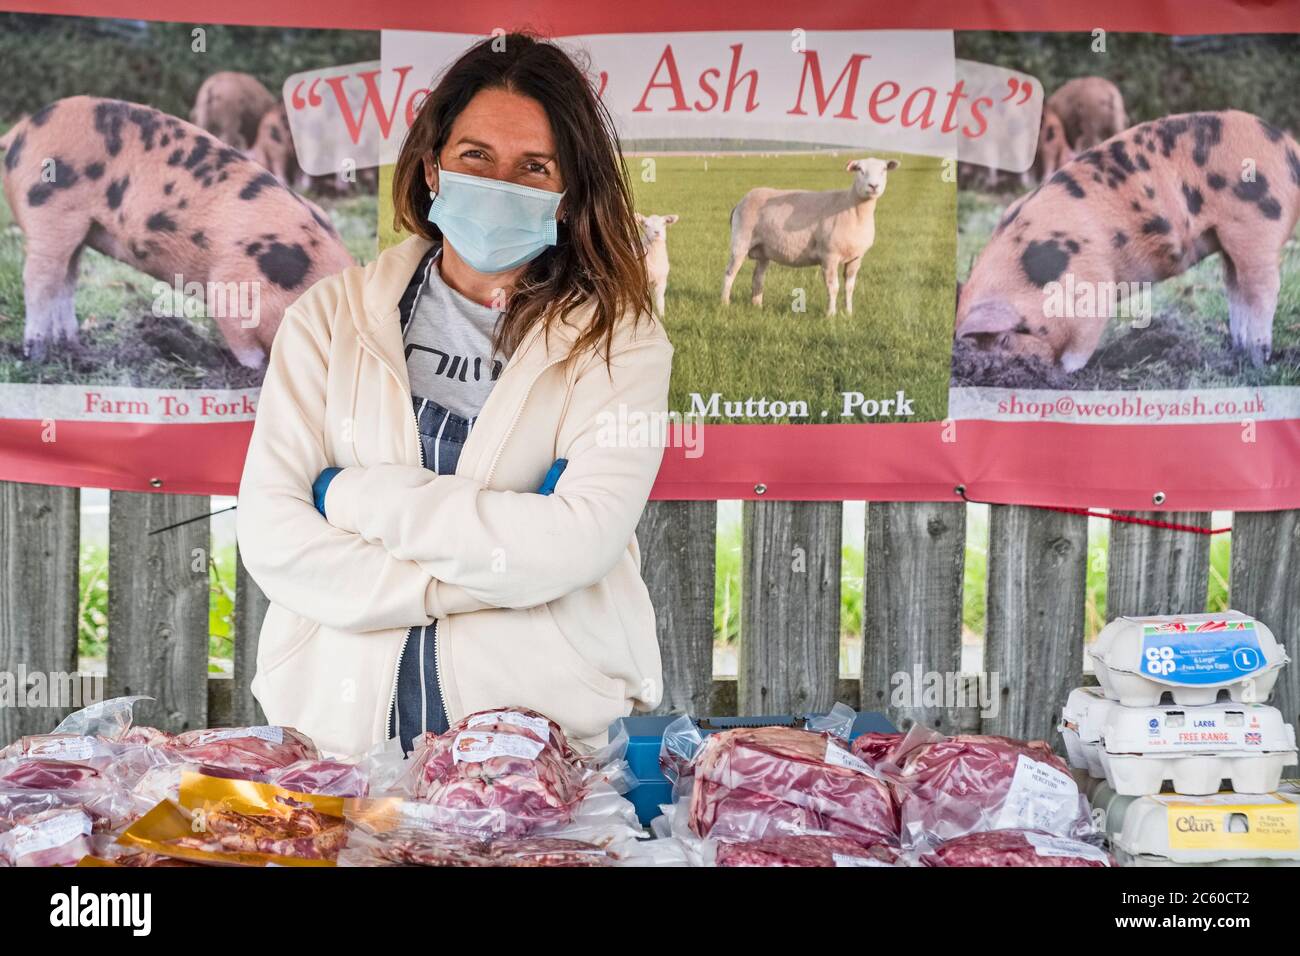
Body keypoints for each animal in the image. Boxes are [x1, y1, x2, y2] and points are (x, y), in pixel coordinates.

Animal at [0, 96, 356, 366]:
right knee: (40, 280)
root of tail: (19, 132)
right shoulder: (227, 288)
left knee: (67, 280)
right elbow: (248, 350)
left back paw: (73, 345)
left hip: (80, 229)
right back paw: (37, 354)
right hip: (48, 213)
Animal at [717, 158, 899, 316]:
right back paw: (724, 304)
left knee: (757, 278)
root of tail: (741, 201)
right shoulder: (829, 255)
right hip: (741, 241)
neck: (852, 208)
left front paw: (848, 313)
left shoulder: (856, 257)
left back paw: (757, 306)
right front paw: (831, 315)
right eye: (859, 169)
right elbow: (833, 287)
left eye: (884, 169)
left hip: (763, 250)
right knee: (729, 273)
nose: (873, 186)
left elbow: (849, 287)